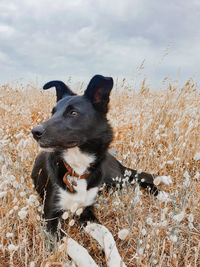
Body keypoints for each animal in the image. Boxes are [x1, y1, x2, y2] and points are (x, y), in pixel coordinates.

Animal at [30, 75, 158, 239]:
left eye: (73, 113)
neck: (77, 168)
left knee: (142, 176)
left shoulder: (87, 212)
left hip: (114, 177)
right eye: (53, 113)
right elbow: (73, 244)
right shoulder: (50, 218)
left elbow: (108, 236)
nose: (35, 132)